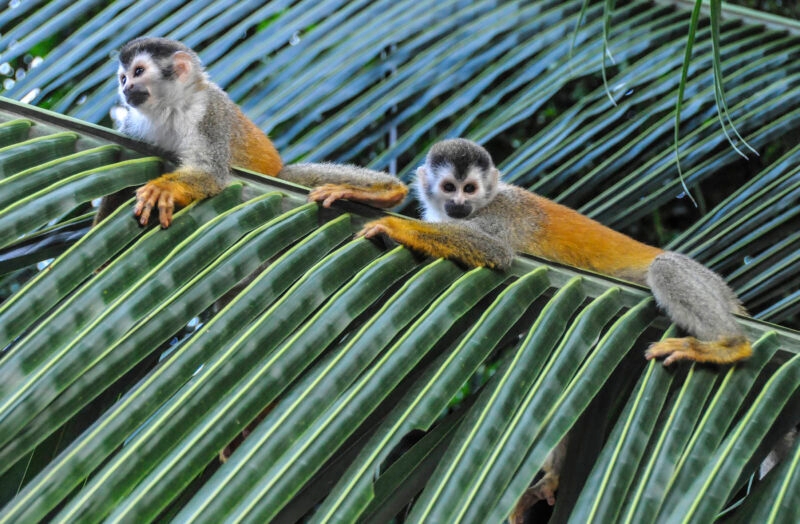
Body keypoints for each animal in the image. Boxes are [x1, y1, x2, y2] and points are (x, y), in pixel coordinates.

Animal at [112, 37, 407, 228]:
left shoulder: (209, 111)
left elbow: (211, 172)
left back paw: (385, 192)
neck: (170, 107)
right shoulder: (133, 127)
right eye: (123, 78)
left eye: (139, 71)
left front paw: (164, 188)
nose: (126, 89)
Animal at [361, 138, 752, 367]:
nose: (459, 204)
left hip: (705, 281)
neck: (485, 202)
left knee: (666, 267)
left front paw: (395, 227)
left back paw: (729, 346)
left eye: (469, 188)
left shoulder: (500, 215)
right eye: (449, 188)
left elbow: (494, 249)